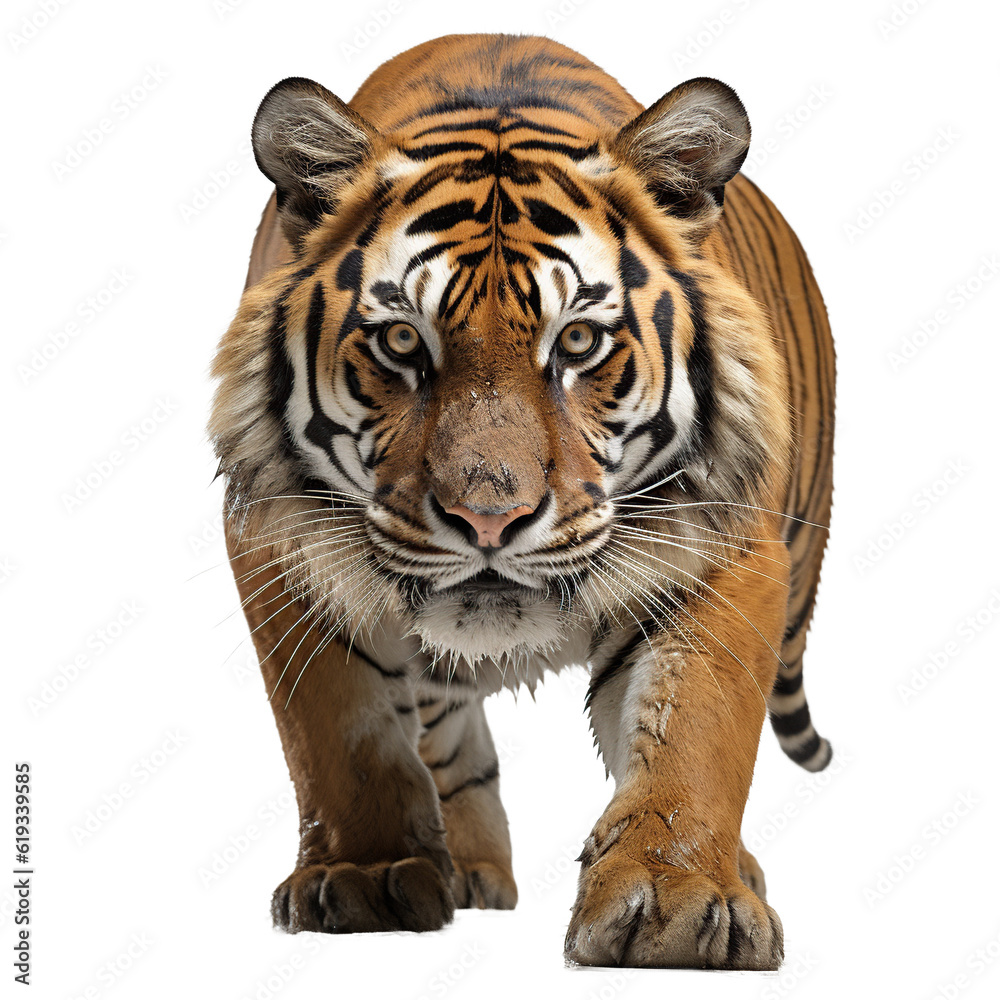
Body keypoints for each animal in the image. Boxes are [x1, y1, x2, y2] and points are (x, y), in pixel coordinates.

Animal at [209, 33, 835, 970]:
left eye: (576, 341)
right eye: (403, 341)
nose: (489, 519)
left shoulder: (728, 540)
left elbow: (697, 723)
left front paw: (679, 902)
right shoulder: (276, 541)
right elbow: (338, 729)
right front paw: (365, 875)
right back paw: (467, 866)